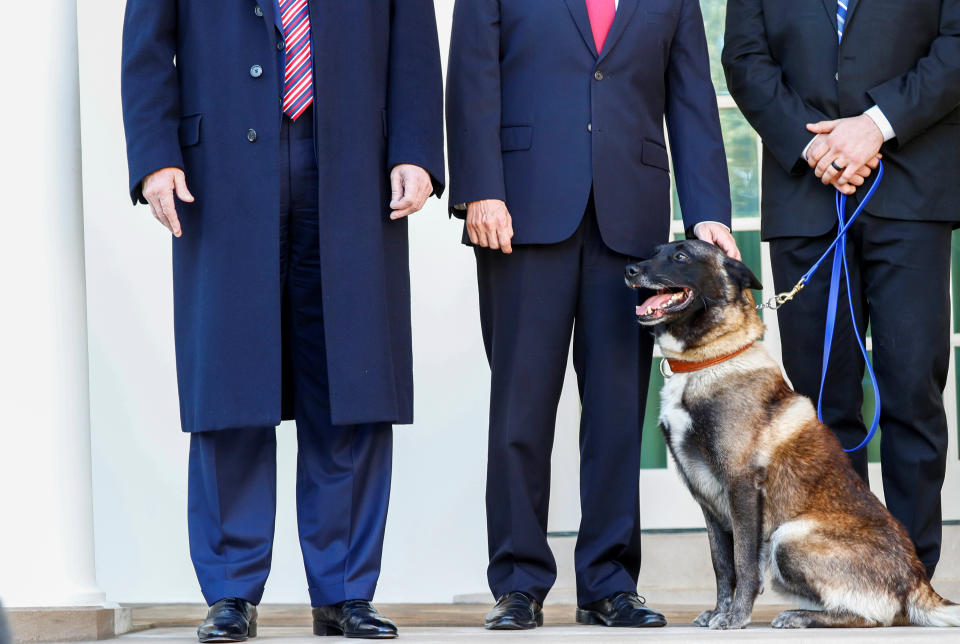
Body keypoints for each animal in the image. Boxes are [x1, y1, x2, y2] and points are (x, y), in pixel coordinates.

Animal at [624, 240, 960, 628]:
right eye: (656, 251)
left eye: (681, 257)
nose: (630, 270)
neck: (708, 360)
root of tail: (917, 580)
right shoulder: (708, 501)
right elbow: (722, 565)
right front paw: (720, 611)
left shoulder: (740, 486)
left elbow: (742, 561)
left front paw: (736, 616)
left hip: (788, 536)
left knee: (875, 616)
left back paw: (801, 616)